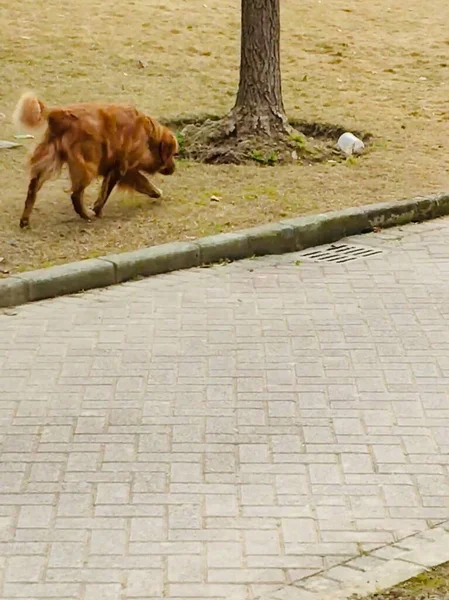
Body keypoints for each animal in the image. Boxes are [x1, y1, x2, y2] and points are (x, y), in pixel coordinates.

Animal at [12, 92, 177, 226]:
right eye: (173, 154)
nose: (174, 169)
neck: (149, 135)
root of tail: (59, 114)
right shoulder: (122, 167)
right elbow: (112, 190)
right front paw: (97, 209)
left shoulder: (118, 169)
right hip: (88, 166)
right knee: (75, 195)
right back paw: (87, 215)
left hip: (50, 160)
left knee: (33, 188)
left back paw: (25, 220)